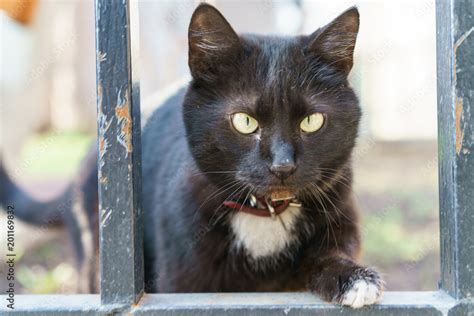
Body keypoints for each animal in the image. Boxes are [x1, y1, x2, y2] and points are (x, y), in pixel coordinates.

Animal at [0, 3, 384, 308]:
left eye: (312, 121)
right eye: (245, 121)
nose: (283, 164)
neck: (265, 215)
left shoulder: (341, 211)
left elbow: (333, 252)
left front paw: (353, 277)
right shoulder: (182, 280)